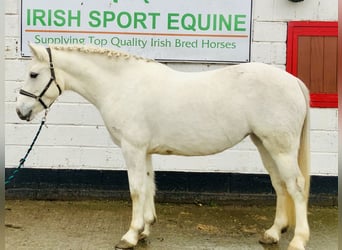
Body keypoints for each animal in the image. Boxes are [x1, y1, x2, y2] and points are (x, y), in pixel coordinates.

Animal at [16, 44, 310, 250]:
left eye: (33, 74)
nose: (20, 111)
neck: (122, 85)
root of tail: (293, 81)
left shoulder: (132, 148)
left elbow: (136, 190)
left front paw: (130, 235)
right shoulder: (144, 151)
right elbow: (149, 186)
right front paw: (145, 229)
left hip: (280, 147)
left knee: (295, 186)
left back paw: (298, 240)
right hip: (264, 144)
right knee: (279, 184)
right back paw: (273, 233)